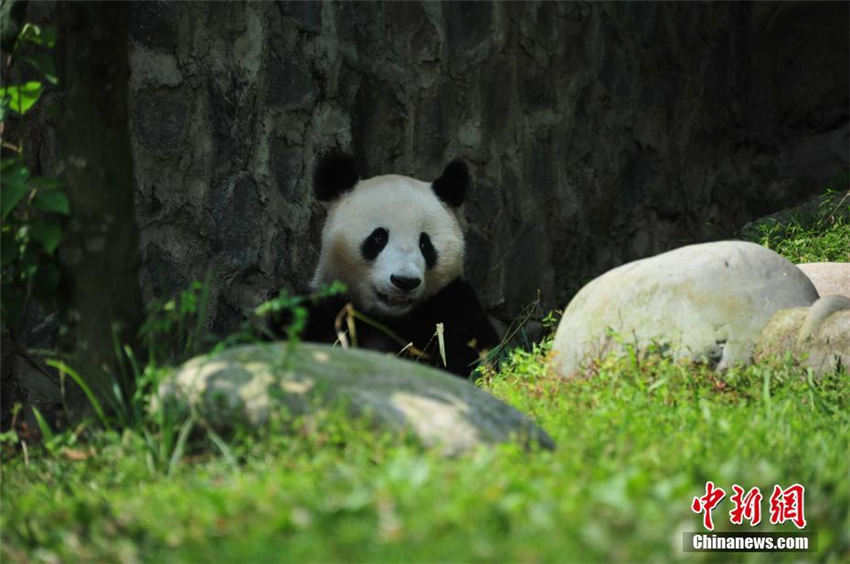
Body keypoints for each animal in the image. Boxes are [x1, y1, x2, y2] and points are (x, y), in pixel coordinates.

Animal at [296, 152, 496, 376]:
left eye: (424, 244)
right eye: (379, 238)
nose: (404, 281)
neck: (389, 318)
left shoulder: (453, 305)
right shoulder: (325, 309)